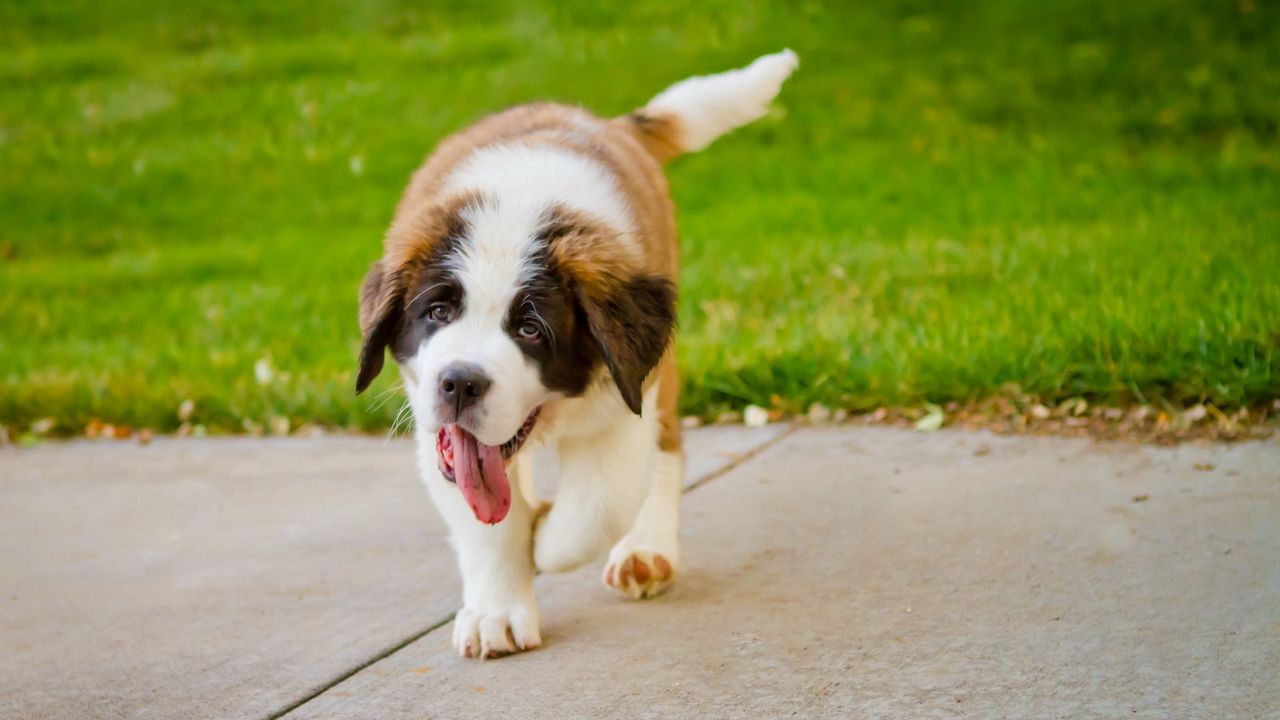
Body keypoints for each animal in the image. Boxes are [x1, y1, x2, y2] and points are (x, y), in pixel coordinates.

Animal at [355, 49, 793, 655]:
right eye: (438, 312)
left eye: (530, 330)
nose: (460, 383)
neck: (518, 205)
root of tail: (610, 124)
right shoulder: (432, 425)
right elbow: (483, 523)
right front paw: (497, 609)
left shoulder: (625, 397)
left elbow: (597, 508)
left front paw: (541, 536)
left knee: (665, 450)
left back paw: (645, 549)